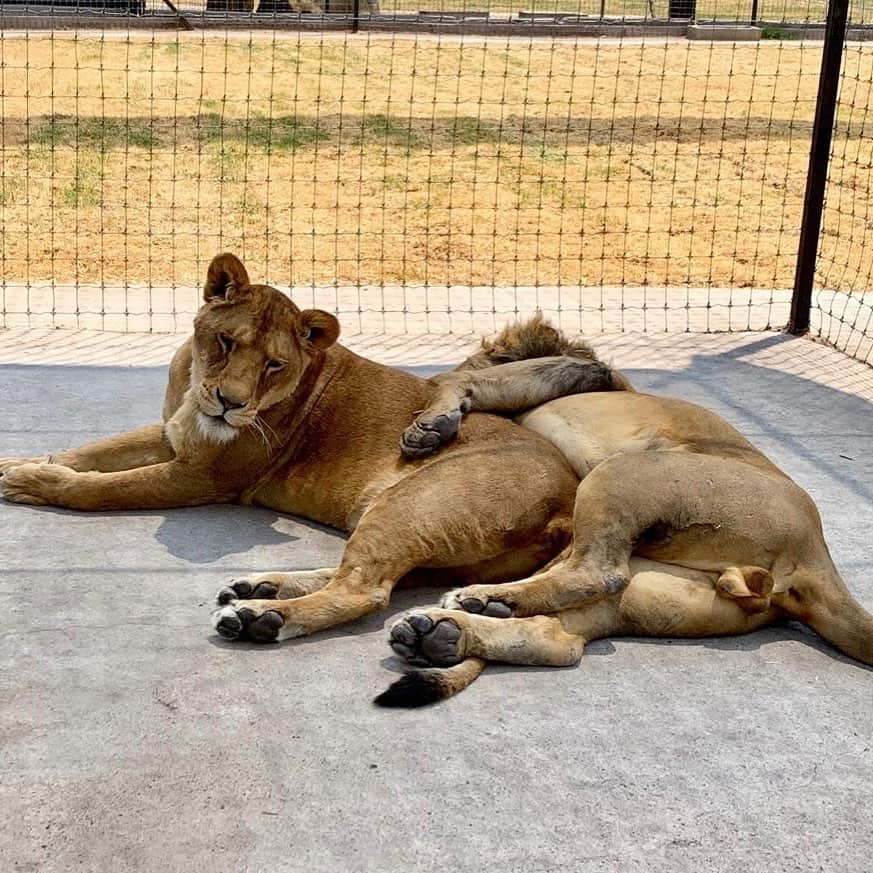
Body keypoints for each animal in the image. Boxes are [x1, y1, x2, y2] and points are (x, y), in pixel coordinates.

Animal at [0, 250, 868, 708]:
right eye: (226, 343)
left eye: (273, 364)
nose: (229, 400)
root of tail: (809, 554)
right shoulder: (171, 433)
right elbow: (92, 449)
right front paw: (25, 461)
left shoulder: (198, 472)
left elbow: (99, 487)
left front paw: (32, 484)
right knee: (539, 628)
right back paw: (291, 595)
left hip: (469, 496)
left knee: (367, 589)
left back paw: (268, 619)